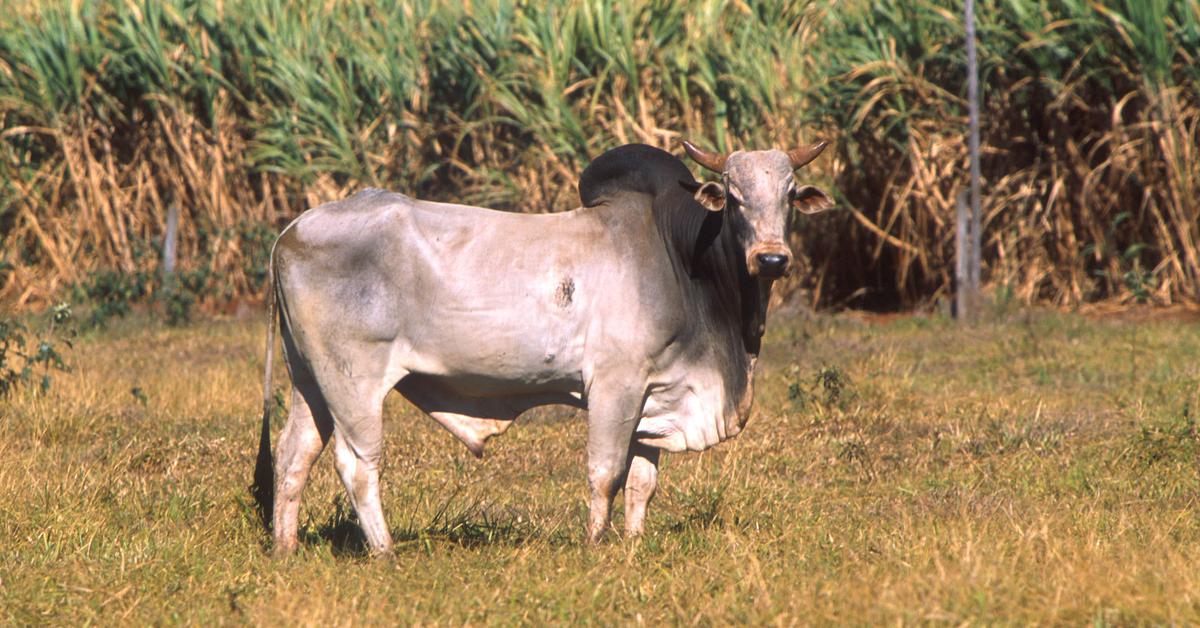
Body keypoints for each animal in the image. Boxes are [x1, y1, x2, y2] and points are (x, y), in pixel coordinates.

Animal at [253, 138, 835, 554]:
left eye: (788, 197)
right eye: (734, 198)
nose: (772, 258)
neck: (680, 257)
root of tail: (291, 230)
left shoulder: (657, 394)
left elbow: (642, 483)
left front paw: (632, 546)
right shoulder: (615, 386)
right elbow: (606, 474)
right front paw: (595, 547)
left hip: (310, 380)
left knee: (293, 455)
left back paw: (285, 549)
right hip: (354, 380)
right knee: (358, 464)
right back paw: (385, 551)